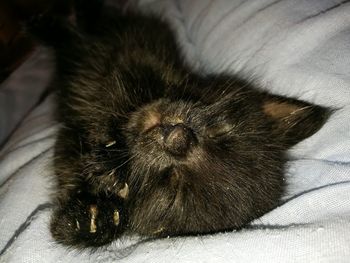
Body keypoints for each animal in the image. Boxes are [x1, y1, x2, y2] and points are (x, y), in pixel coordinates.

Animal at [27, 2, 328, 249]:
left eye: (173, 185)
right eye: (222, 129)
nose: (178, 138)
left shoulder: (69, 142)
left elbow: (70, 171)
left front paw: (93, 218)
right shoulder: (143, 64)